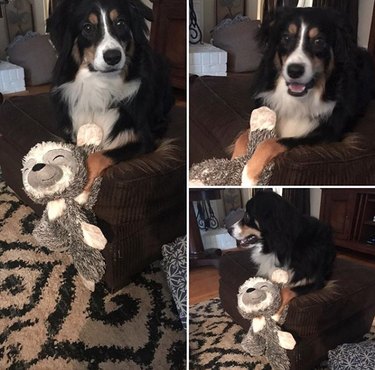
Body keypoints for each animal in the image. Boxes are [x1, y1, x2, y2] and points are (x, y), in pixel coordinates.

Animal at [47, 0, 175, 197]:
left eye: (121, 23)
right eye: (88, 27)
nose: (113, 56)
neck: (101, 85)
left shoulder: (143, 140)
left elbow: (96, 155)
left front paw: (81, 191)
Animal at [235, 9, 375, 185]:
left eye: (318, 41)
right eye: (286, 38)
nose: (294, 71)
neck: (298, 99)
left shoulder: (324, 134)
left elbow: (271, 142)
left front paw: (249, 174)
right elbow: (242, 136)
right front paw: (236, 160)